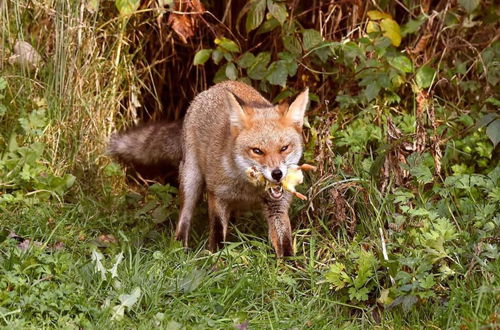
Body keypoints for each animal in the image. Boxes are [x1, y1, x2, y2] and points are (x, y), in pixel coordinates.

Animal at [109, 80, 308, 258]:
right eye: (257, 151)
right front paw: (216, 258)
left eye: (284, 148)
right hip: (191, 180)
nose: (277, 174)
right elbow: (217, 230)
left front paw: (291, 268)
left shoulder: (277, 206)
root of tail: (219, 85)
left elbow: (285, 242)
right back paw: (180, 247)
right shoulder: (217, 194)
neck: (248, 189)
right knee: (184, 217)